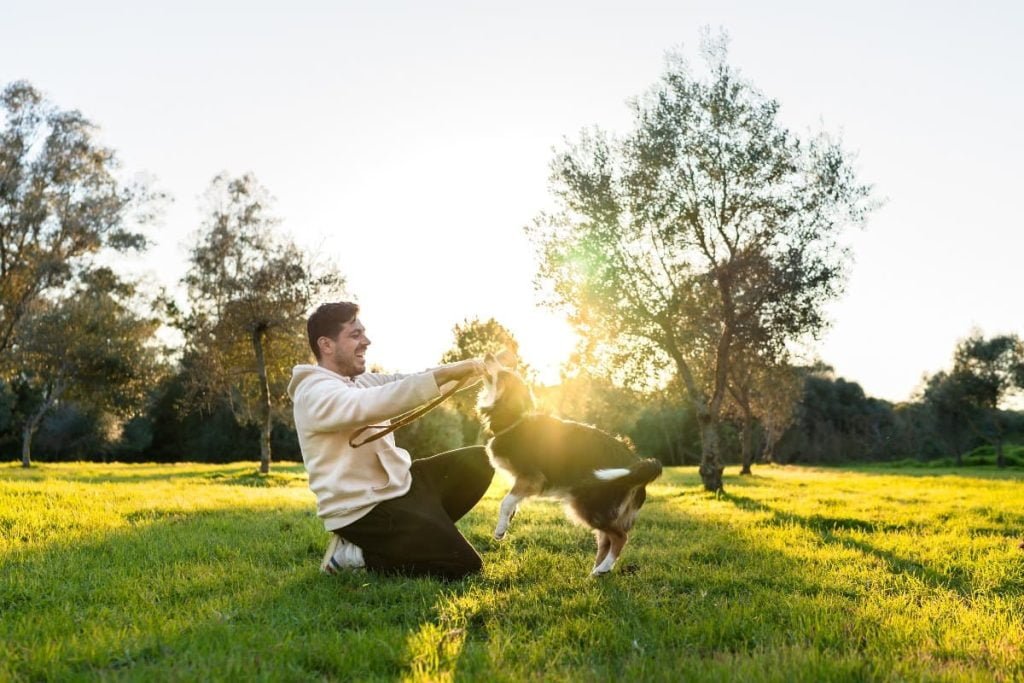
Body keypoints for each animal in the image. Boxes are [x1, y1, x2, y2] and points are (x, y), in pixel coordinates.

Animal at [475, 356, 659, 573]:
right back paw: (596, 572)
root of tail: (639, 464)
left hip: (589, 505)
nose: (488, 355)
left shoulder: (531, 478)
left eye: (504, 374)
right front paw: (506, 524)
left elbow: (505, 502)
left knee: (619, 537)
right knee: (605, 540)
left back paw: (603, 568)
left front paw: (500, 530)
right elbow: (512, 502)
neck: (515, 420)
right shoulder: (522, 482)